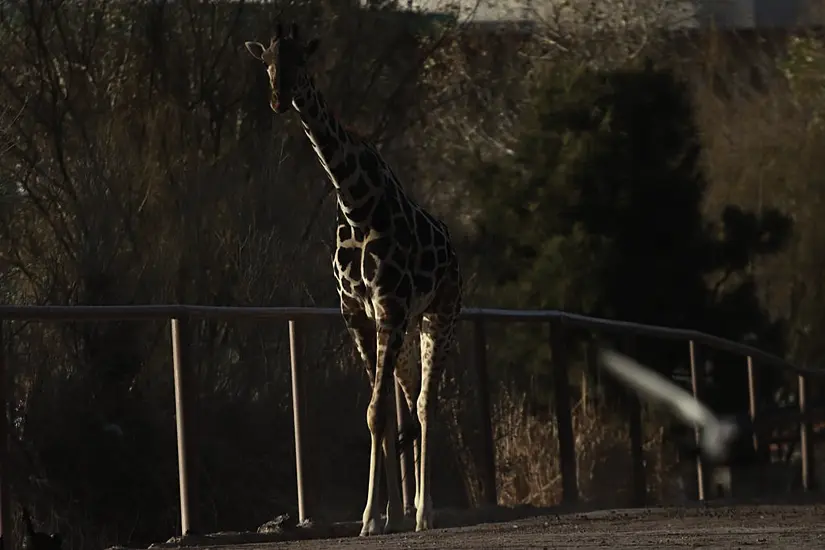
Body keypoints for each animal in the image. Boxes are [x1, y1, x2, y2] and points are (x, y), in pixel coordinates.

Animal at [245, 23, 464, 536]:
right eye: (266, 61)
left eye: (301, 59)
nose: (279, 99)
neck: (355, 203)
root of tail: (453, 247)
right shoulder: (356, 313)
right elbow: (375, 414)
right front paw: (378, 516)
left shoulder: (390, 308)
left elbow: (378, 410)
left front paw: (373, 517)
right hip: (407, 329)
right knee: (410, 399)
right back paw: (408, 510)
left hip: (439, 315)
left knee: (426, 403)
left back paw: (425, 512)